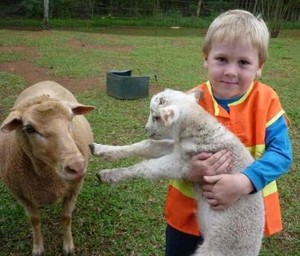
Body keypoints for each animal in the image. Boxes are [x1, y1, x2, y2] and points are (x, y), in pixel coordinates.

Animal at [0, 81, 94, 256]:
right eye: (29, 129)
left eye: (71, 118)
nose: (77, 167)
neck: (48, 176)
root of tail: (46, 82)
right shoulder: (21, 195)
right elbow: (34, 220)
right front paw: (38, 247)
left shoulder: (74, 189)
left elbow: (66, 217)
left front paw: (68, 246)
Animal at [90, 88, 264, 256]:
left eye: (156, 117)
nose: (146, 129)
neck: (199, 131)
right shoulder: (175, 147)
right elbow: (146, 145)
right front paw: (100, 149)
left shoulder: (184, 163)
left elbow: (147, 168)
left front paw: (108, 175)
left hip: (219, 248)